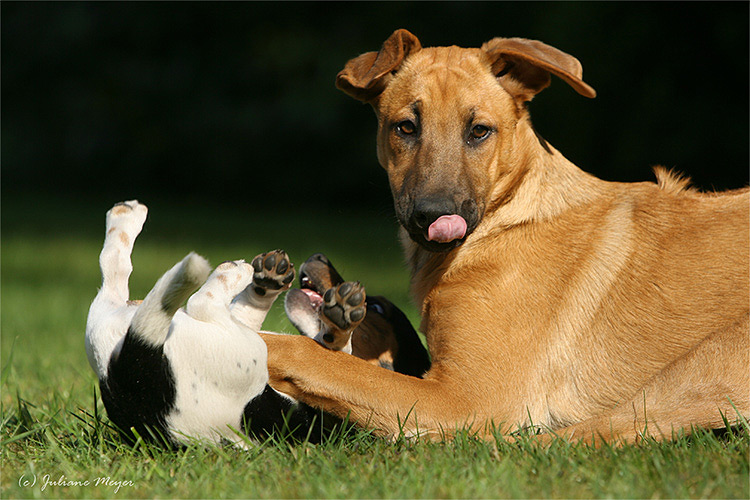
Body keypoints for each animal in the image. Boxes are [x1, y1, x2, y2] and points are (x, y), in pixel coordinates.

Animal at [262, 29, 748, 444]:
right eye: (405, 127)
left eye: (479, 130)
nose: (433, 216)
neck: (502, 219)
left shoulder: (468, 398)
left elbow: (303, 354)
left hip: (705, 362)